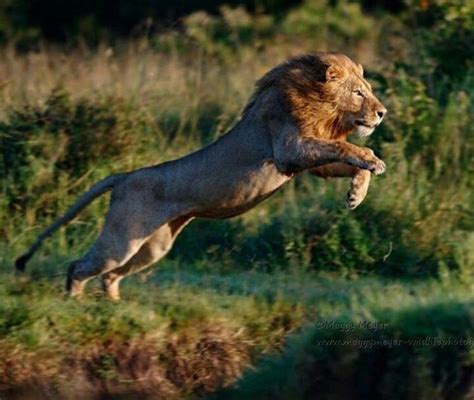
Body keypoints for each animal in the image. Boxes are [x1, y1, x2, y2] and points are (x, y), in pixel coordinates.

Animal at [14, 52, 386, 300]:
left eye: (367, 89)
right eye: (359, 93)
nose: (382, 112)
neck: (320, 105)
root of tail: (124, 176)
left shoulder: (311, 161)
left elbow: (347, 156)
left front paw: (357, 194)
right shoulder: (289, 149)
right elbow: (349, 148)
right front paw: (374, 163)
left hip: (155, 246)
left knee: (111, 276)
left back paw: (114, 307)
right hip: (121, 240)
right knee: (79, 266)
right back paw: (74, 303)